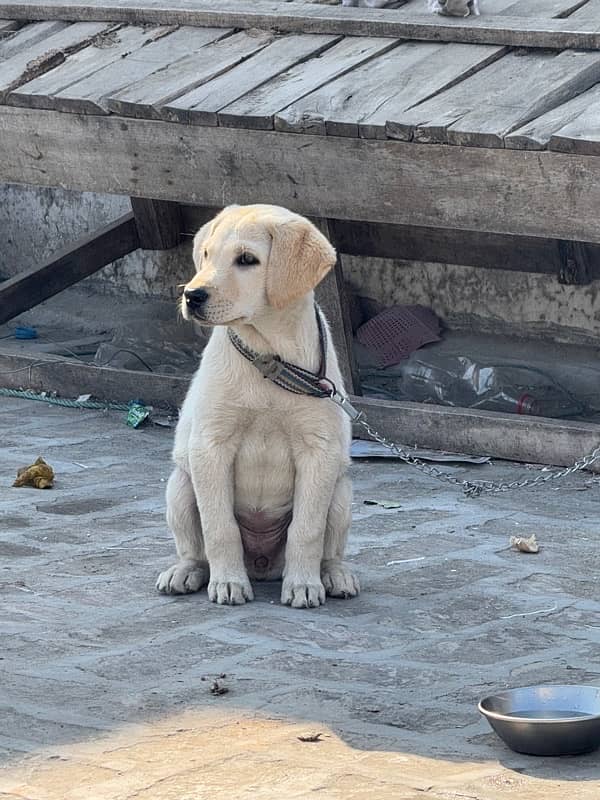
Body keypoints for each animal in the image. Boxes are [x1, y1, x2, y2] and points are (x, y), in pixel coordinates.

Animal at [157, 205, 358, 608]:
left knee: (328, 548)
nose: (192, 296)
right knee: (195, 549)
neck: (269, 356)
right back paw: (186, 571)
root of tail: (263, 565)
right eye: (206, 255)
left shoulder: (319, 450)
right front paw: (228, 582)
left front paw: (303, 585)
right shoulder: (210, 445)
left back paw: (333, 574)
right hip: (181, 485)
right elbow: (220, 527)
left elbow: (306, 530)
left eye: (247, 260)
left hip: (341, 492)